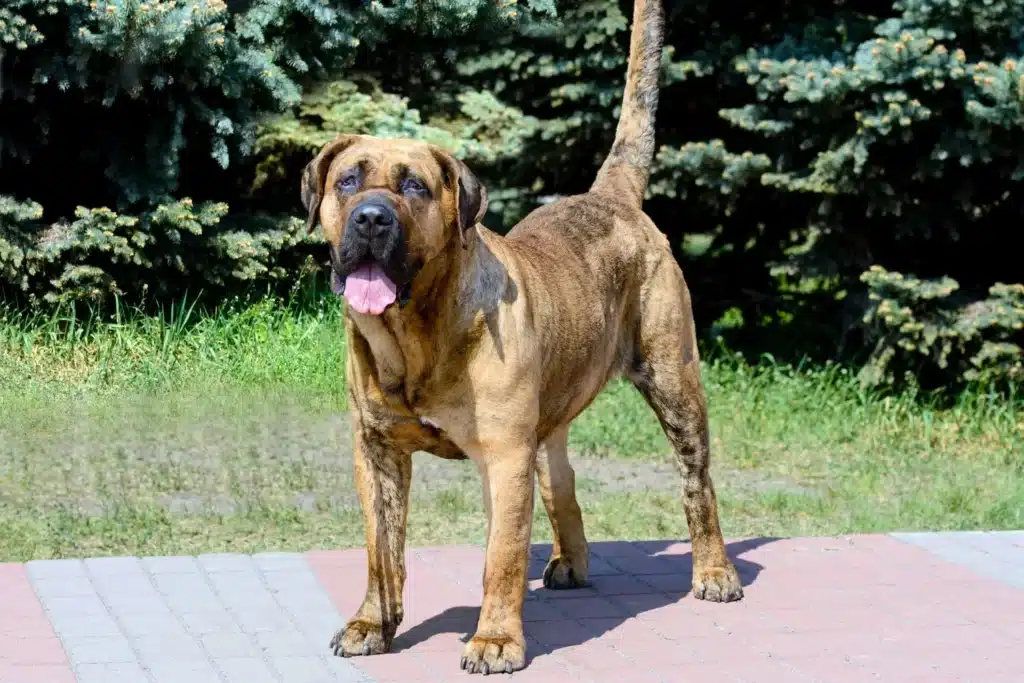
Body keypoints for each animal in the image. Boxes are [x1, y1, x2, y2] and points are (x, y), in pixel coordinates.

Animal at [299, 0, 741, 671]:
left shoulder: (504, 455)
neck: (416, 335)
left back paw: (715, 573)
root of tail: (611, 197)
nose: (371, 218)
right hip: (553, 410)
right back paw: (570, 562)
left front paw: (496, 640)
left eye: (414, 186)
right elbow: (382, 550)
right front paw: (373, 624)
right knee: (562, 480)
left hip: (674, 380)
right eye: (348, 181)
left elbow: (501, 558)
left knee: (698, 482)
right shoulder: (375, 450)